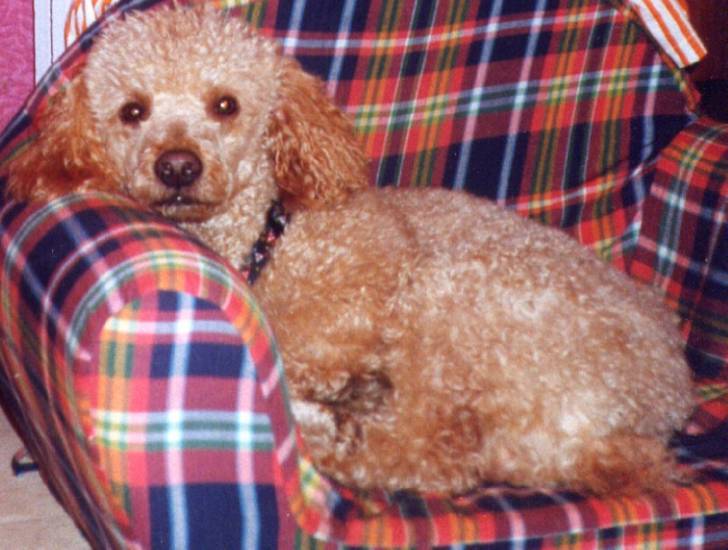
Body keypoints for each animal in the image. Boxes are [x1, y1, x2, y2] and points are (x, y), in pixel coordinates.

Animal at [5, 7, 694, 495]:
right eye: (132, 111)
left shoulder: (349, 322)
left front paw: (326, 402)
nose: (178, 166)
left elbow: (299, 359)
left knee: (436, 457)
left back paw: (335, 441)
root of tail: (656, 407)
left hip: (452, 303)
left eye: (225, 105)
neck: (269, 237)